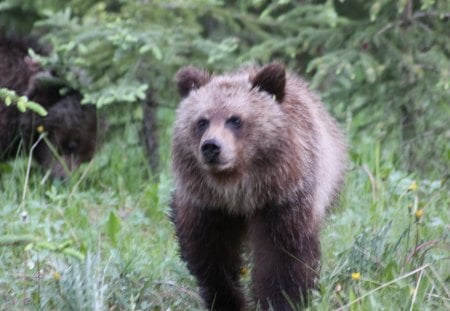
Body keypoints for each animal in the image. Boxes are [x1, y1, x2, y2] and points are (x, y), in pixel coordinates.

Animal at [171, 62, 346, 310]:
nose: (211, 146)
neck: (239, 191)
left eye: (235, 119)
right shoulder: (208, 207)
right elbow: (212, 257)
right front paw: (225, 300)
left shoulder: (284, 201)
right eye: (202, 121)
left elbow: (282, 257)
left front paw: (280, 301)